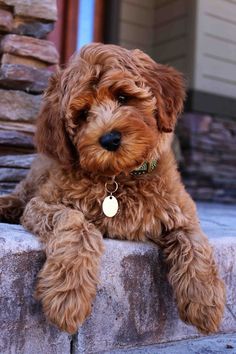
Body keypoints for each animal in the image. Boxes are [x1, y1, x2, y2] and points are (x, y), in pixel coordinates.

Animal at [0, 42, 225, 334]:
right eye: (83, 114)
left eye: (122, 97)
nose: (109, 139)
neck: (119, 177)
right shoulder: (44, 203)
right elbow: (75, 223)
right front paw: (68, 293)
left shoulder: (181, 210)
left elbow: (194, 242)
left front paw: (205, 301)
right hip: (37, 176)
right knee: (22, 195)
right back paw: (6, 206)